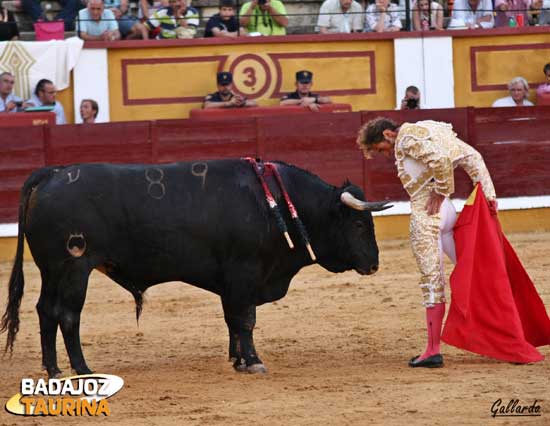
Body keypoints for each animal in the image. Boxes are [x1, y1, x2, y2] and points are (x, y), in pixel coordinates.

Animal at [1, 160, 388, 376]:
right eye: (357, 224)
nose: (373, 264)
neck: (275, 203)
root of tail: (52, 174)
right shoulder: (244, 274)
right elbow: (245, 320)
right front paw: (253, 362)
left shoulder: (231, 282)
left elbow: (233, 320)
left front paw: (238, 360)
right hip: (74, 268)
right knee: (68, 315)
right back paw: (81, 368)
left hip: (53, 270)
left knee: (45, 311)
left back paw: (53, 370)